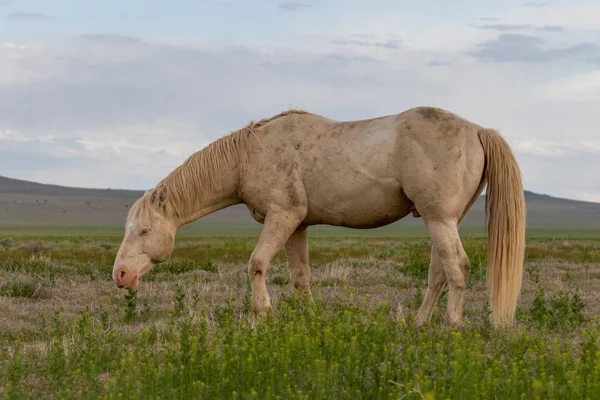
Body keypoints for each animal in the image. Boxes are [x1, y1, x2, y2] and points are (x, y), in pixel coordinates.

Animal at [111, 106, 524, 328]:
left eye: (143, 230)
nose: (121, 275)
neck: (249, 155)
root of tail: (477, 130)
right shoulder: (299, 226)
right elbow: (301, 276)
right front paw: (307, 318)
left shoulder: (283, 215)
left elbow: (257, 263)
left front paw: (263, 313)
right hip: (445, 220)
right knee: (440, 271)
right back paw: (420, 323)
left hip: (439, 219)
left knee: (457, 267)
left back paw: (451, 326)